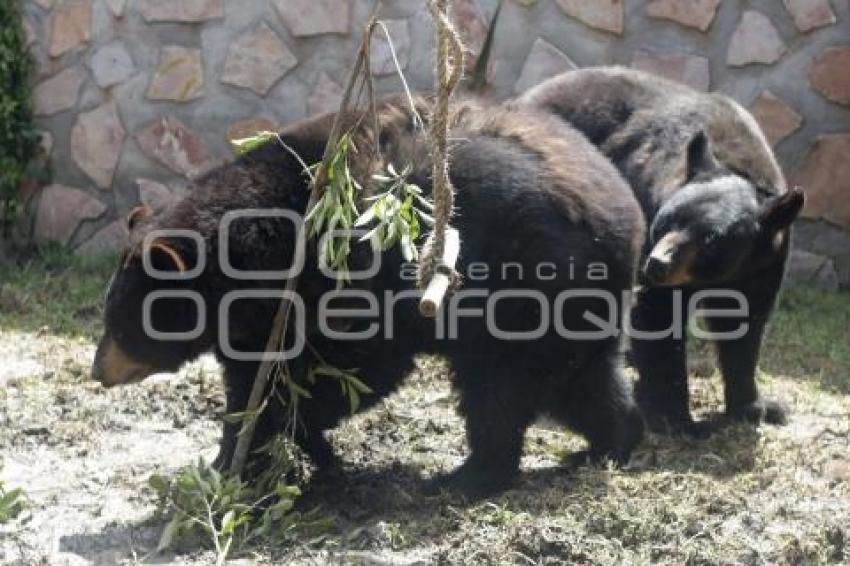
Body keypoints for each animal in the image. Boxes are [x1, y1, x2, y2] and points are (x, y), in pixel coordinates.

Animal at [91, 97, 644, 496]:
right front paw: (245, 457)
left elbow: (349, 370)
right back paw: (609, 443)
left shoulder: (346, 279)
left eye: (117, 325)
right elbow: (255, 381)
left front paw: (256, 456)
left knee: (498, 388)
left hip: (522, 289)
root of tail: (623, 219)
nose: (98, 371)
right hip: (570, 304)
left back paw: (469, 476)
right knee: (581, 380)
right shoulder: (263, 321)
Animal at [516, 69, 800, 438]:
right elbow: (658, 316)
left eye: (711, 239)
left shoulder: (764, 262)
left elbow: (745, 325)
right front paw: (676, 418)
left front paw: (756, 407)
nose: (657, 264)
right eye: (668, 218)